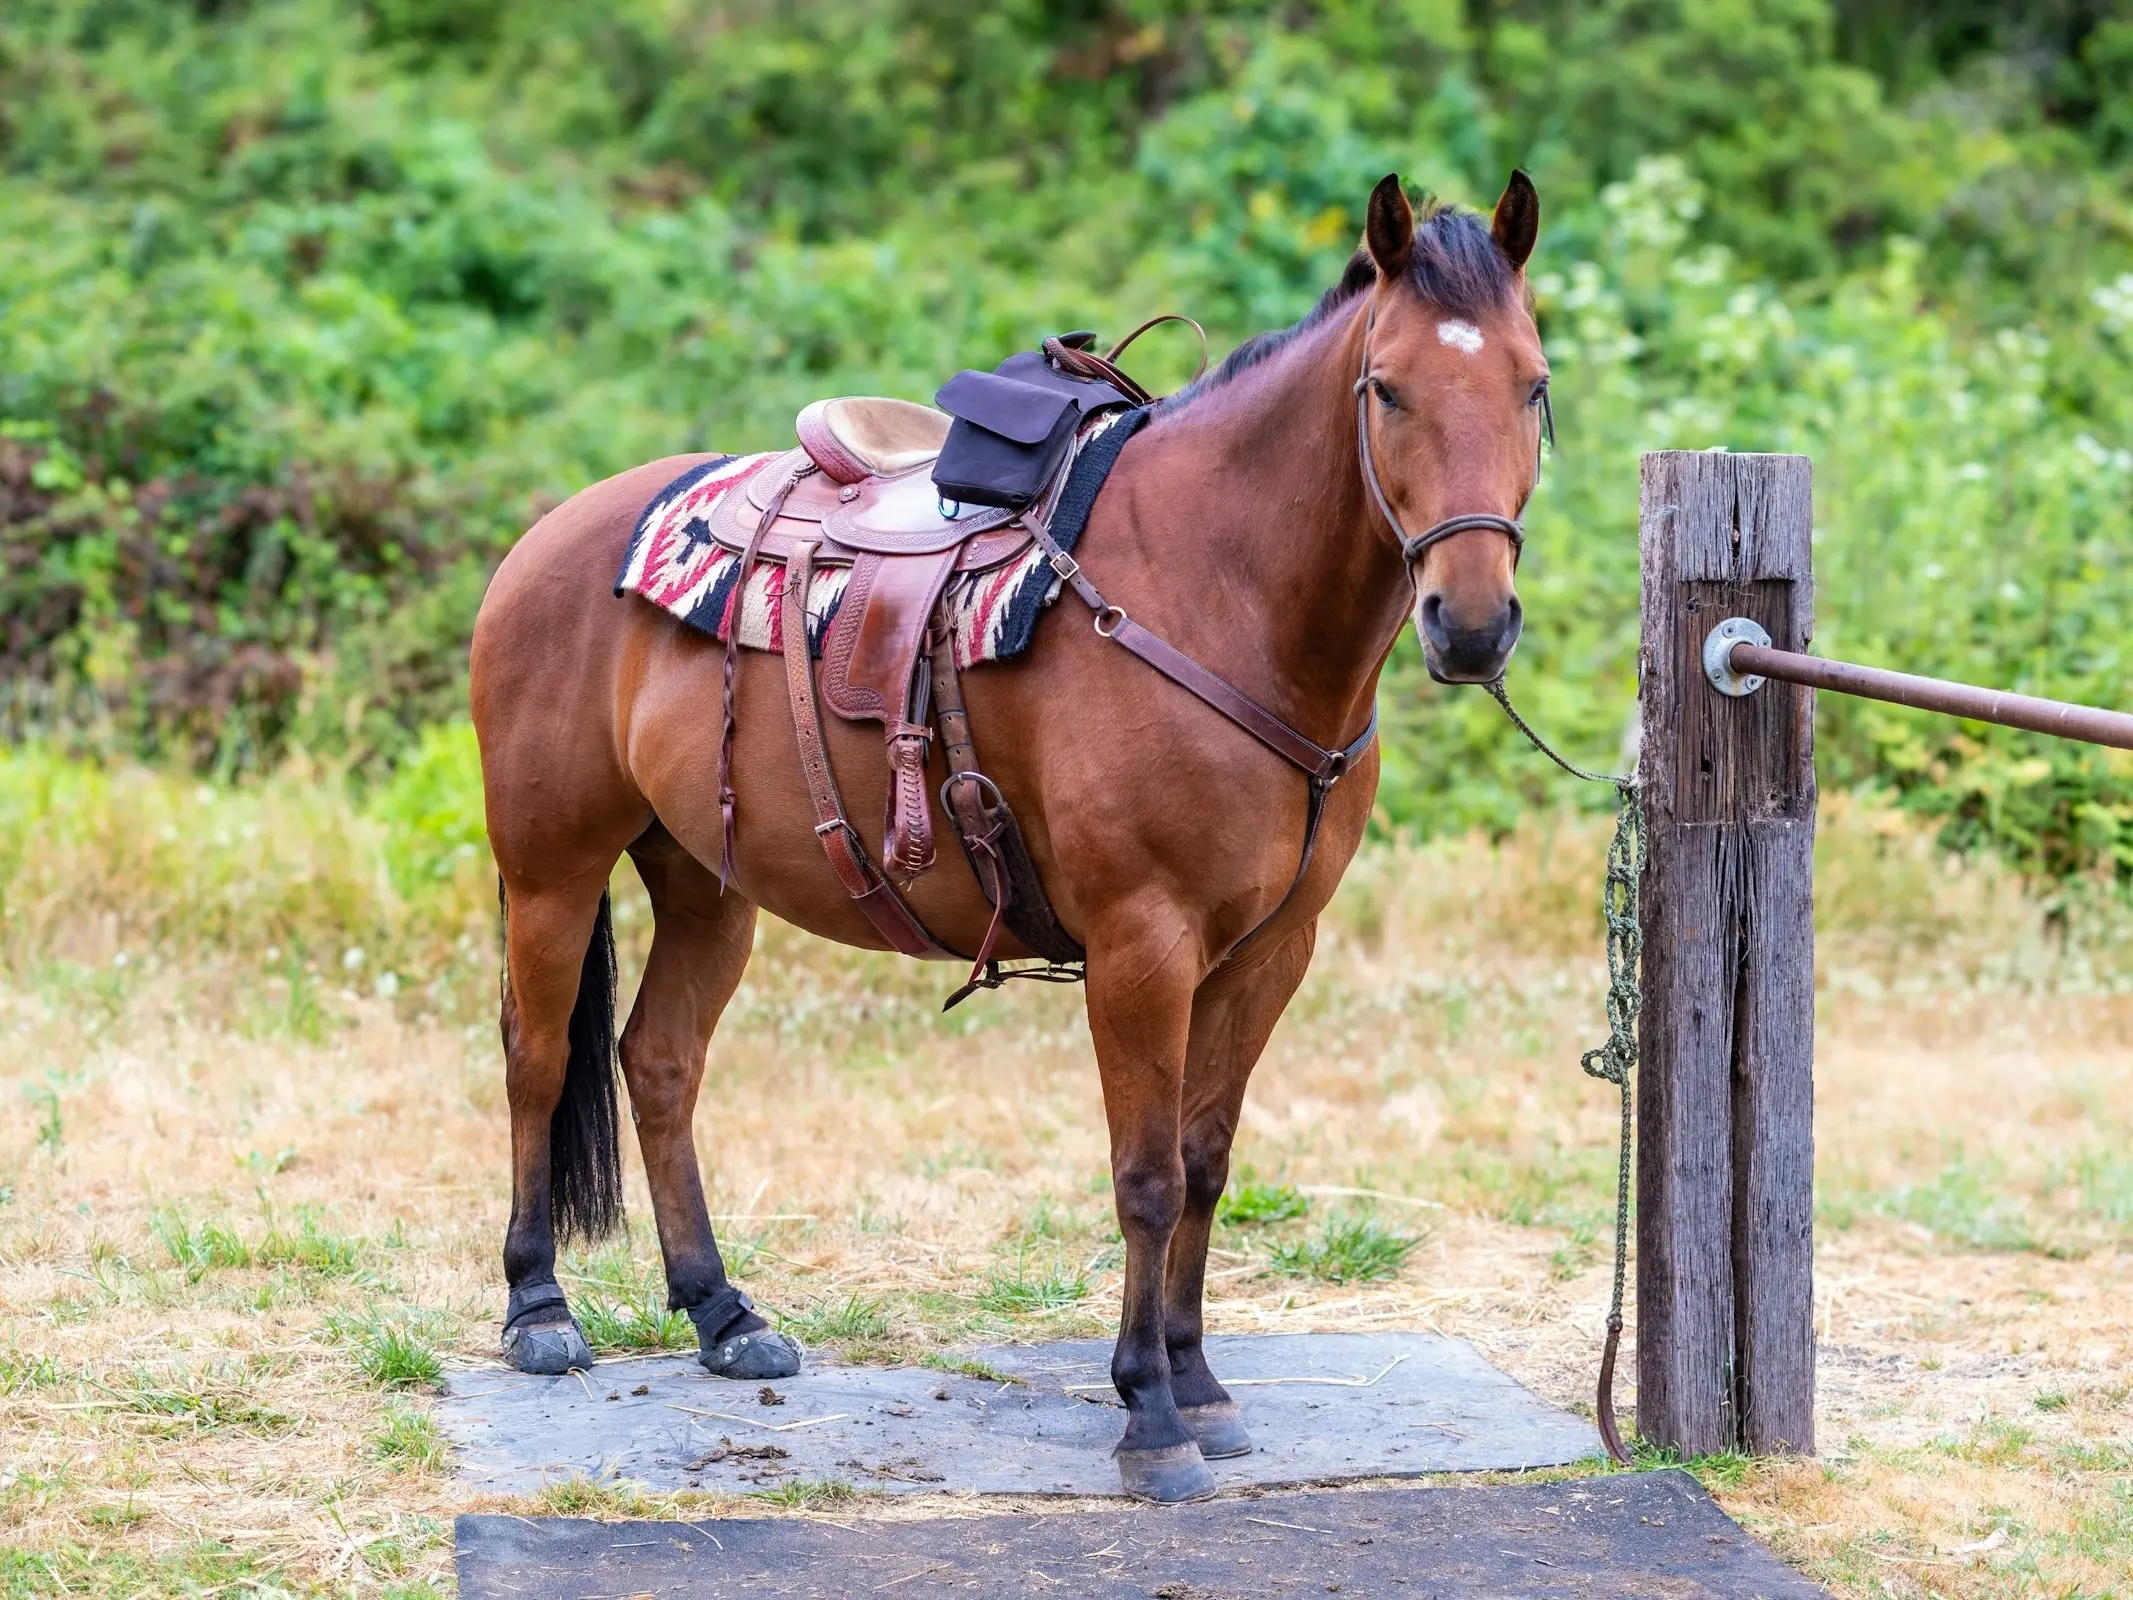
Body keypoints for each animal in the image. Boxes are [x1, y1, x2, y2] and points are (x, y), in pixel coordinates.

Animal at [475, 172, 1544, 1501]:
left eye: (1532, 385)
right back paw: (538, 1309)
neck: (1220, 591)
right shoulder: (1143, 945)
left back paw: (724, 1313)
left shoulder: (1267, 952)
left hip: (707, 882)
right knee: (535, 1057)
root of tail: (548, 535)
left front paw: (1199, 1380)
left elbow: (1205, 1162)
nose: (1473, 624)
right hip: (552, 868)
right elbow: (1145, 1177)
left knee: (659, 1062)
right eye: (1387, 387)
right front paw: (1150, 1415)